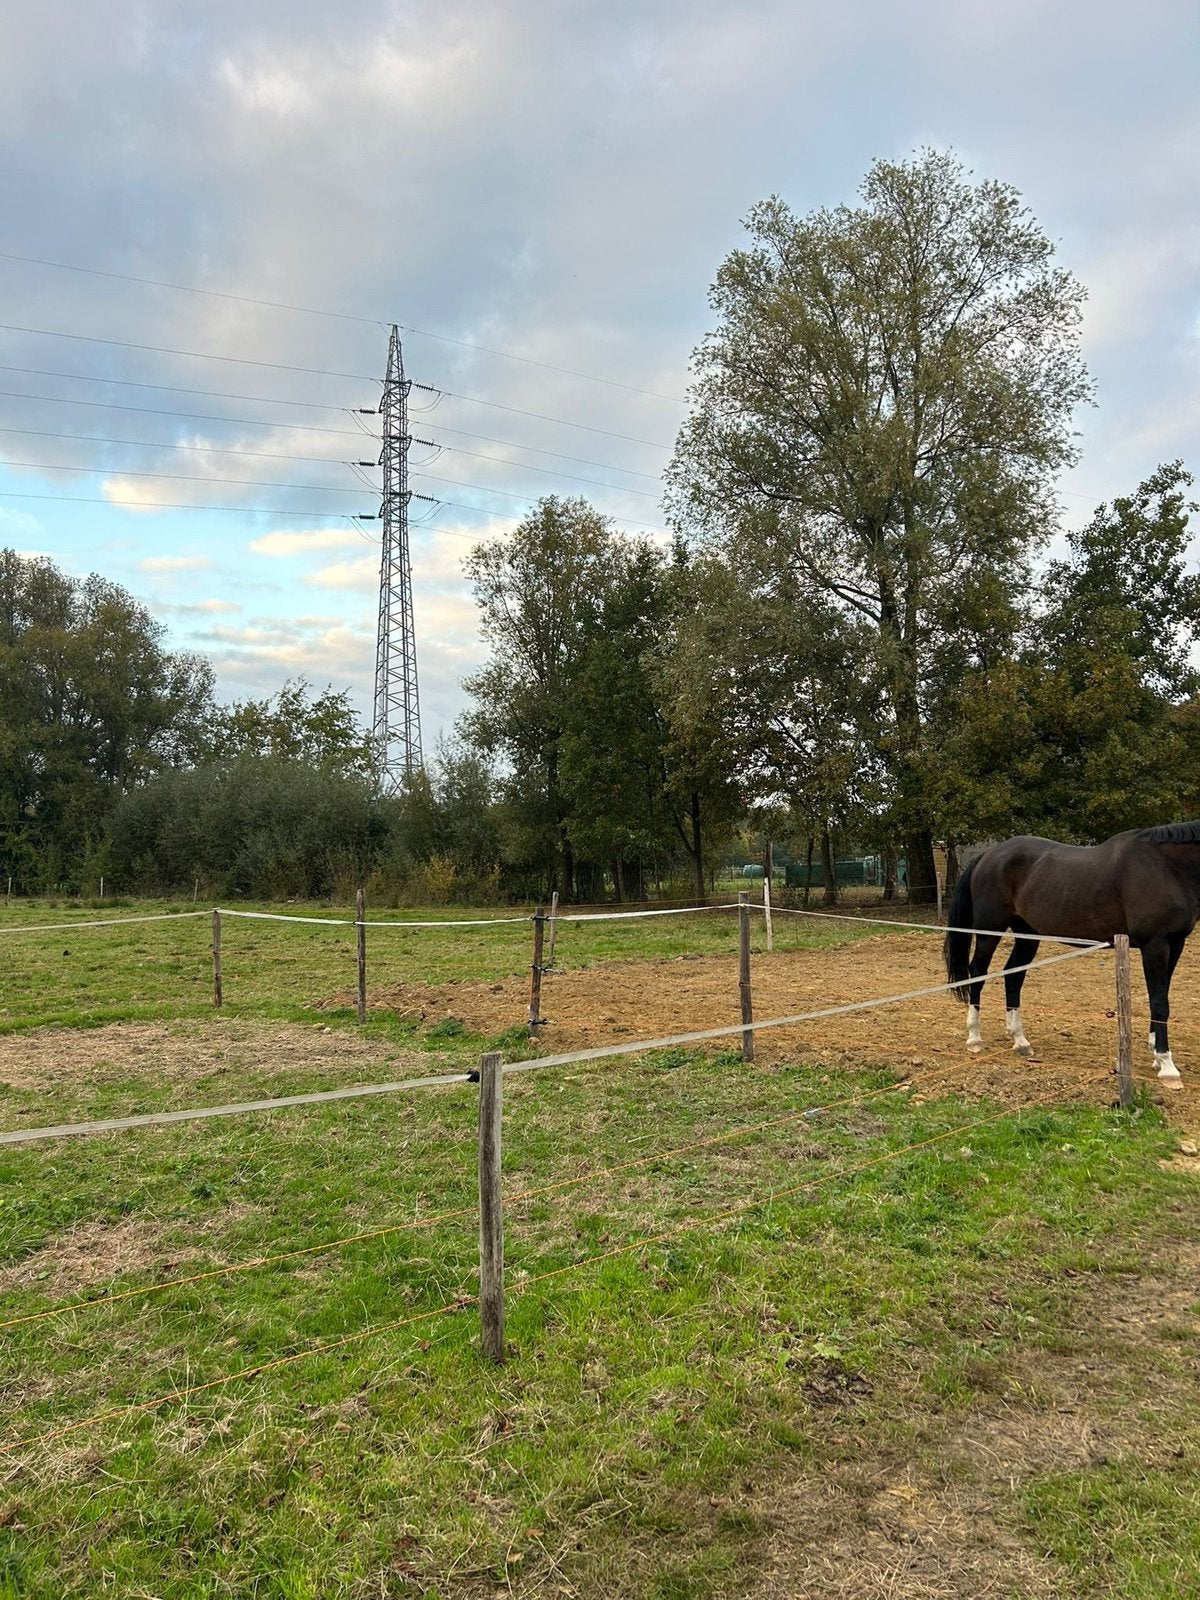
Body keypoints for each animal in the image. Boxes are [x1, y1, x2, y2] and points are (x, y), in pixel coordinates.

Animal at [942, 823, 1200, 1084]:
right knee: (978, 973)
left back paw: (1020, 1040)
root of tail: (988, 855)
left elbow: (1160, 996)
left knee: (1013, 975)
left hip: (1027, 935)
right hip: (989, 930)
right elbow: (1159, 1002)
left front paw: (1157, 1055)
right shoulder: (1155, 944)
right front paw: (1167, 1066)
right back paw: (975, 1038)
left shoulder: (1175, 944)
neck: (1165, 866)